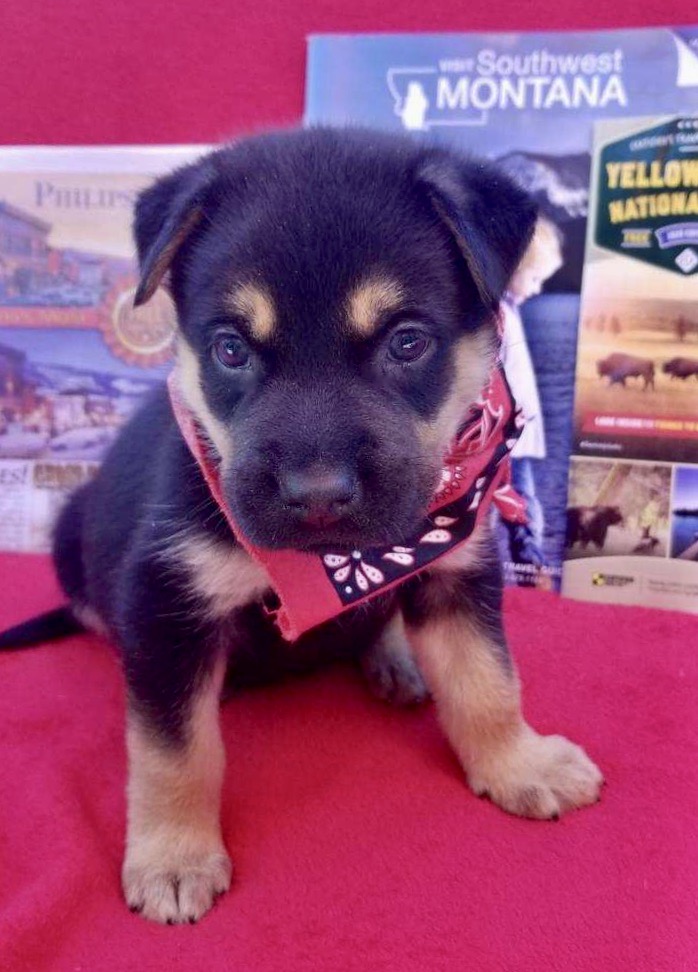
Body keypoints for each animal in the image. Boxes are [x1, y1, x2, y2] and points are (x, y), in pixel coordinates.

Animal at [1, 128, 603, 923]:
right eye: (230, 349)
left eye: (407, 342)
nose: (317, 496)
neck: (339, 562)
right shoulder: (166, 602)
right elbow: (173, 755)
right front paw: (173, 858)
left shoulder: (457, 570)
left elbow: (489, 683)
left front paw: (519, 763)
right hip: (71, 532)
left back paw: (395, 658)